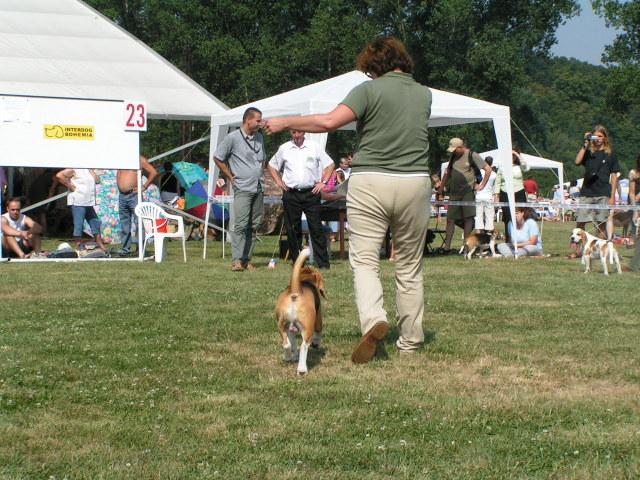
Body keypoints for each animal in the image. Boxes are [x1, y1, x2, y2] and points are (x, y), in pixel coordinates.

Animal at [274, 248, 324, 376]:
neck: (304, 281)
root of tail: (296, 290)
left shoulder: (291, 329)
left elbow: (292, 342)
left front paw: (293, 356)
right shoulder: (318, 320)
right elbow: (318, 333)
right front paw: (316, 343)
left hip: (282, 325)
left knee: (286, 344)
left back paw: (287, 357)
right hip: (308, 329)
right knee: (303, 346)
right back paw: (302, 369)